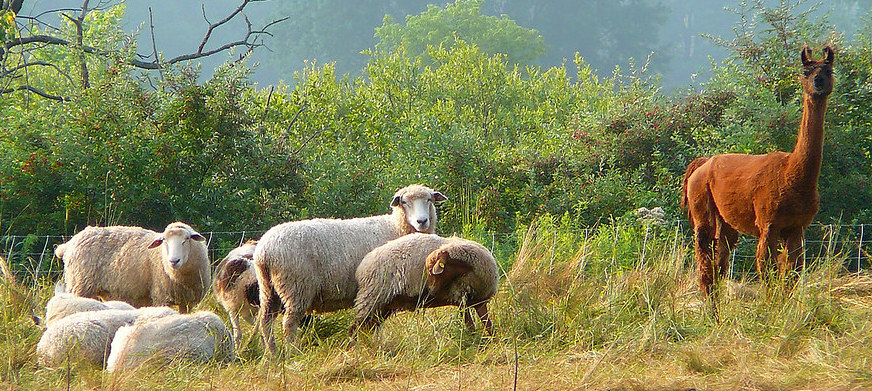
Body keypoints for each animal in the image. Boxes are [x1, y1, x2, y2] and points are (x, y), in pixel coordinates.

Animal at [56, 222, 211, 314]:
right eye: (164, 240)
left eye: (187, 239)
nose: (173, 261)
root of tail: (69, 244)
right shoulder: (161, 297)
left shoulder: (187, 302)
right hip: (79, 286)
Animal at [254, 185, 446, 356]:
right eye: (404, 202)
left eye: (429, 199)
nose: (422, 221)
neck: (395, 227)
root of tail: (264, 251)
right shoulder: (380, 288)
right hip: (297, 287)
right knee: (289, 323)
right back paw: (292, 352)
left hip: (268, 288)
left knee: (266, 321)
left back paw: (272, 354)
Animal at [350, 234, 498, 336]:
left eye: (434, 271)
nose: (432, 290)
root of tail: (362, 267)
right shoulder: (461, 297)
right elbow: (471, 325)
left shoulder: (478, 301)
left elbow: (487, 324)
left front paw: (490, 340)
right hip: (372, 299)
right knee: (356, 328)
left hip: (382, 306)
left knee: (366, 327)